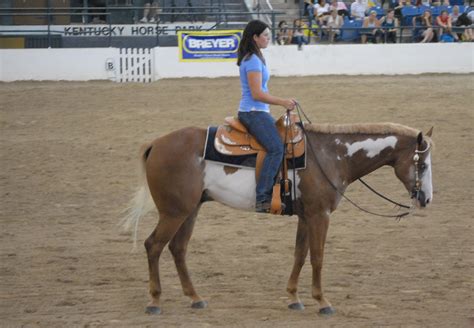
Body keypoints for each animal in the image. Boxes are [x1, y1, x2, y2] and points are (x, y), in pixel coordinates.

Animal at [122, 120, 434, 316]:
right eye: (423, 164)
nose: (426, 199)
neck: (331, 155)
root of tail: (157, 144)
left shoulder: (306, 216)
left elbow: (300, 254)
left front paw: (294, 298)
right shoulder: (320, 215)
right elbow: (317, 257)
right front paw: (322, 302)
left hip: (190, 210)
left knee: (178, 248)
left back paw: (196, 298)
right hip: (173, 212)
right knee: (153, 245)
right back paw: (154, 301)